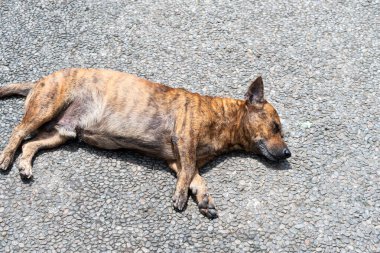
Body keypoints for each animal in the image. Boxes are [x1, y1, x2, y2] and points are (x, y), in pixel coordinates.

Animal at [0, 68, 290, 218]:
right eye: (276, 127)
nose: (288, 153)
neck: (225, 119)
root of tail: (39, 81)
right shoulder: (184, 140)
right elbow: (189, 173)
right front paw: (181, 196)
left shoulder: (177, 160)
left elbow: (195, 178)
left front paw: (203, 199)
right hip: (45, 108)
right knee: (18, 133)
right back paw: (6, 157)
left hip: (61, 133)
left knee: (30, 145)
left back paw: (25, 165)